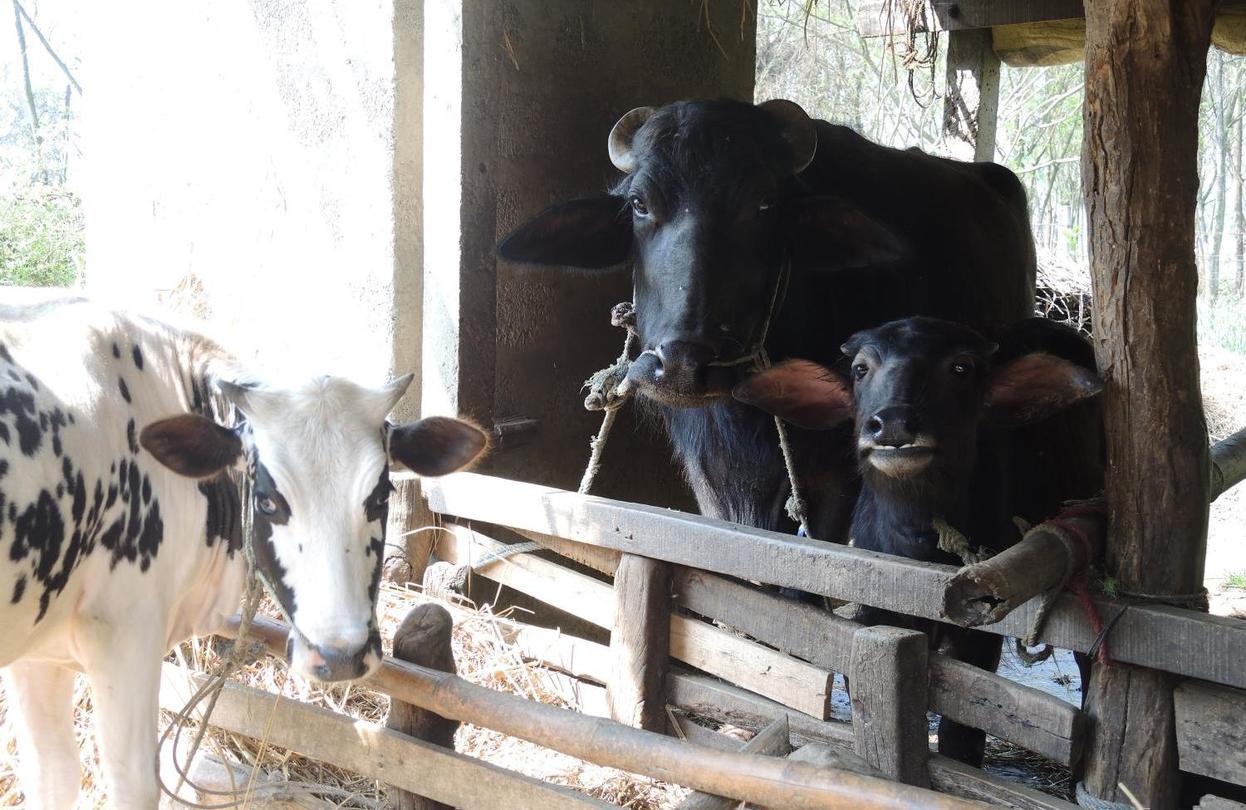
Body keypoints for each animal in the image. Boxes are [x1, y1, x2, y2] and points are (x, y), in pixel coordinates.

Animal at [0, 299, 488, 809]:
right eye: (267, 501)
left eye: (379, 497)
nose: (340, 656)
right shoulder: (125, 637)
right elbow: (133, 782)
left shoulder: (39, 653)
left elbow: (53, 775)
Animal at [733, 315, 1103, 765]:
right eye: (860, 368)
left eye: (961, 367)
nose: (892, 424)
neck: (916, 554)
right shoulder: (873, 614)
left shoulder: (979, 626)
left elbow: (961, 730)